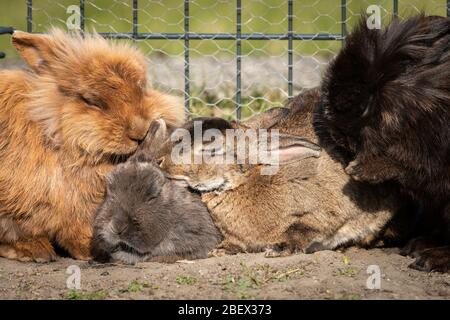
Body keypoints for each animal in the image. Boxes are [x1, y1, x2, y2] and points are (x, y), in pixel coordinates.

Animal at [159, 89, 414, 256]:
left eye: (211, 149)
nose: (160, 161)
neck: (247, 179)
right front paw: (222, 250)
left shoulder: (323, 212)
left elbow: (303, 229)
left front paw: (279, 249)